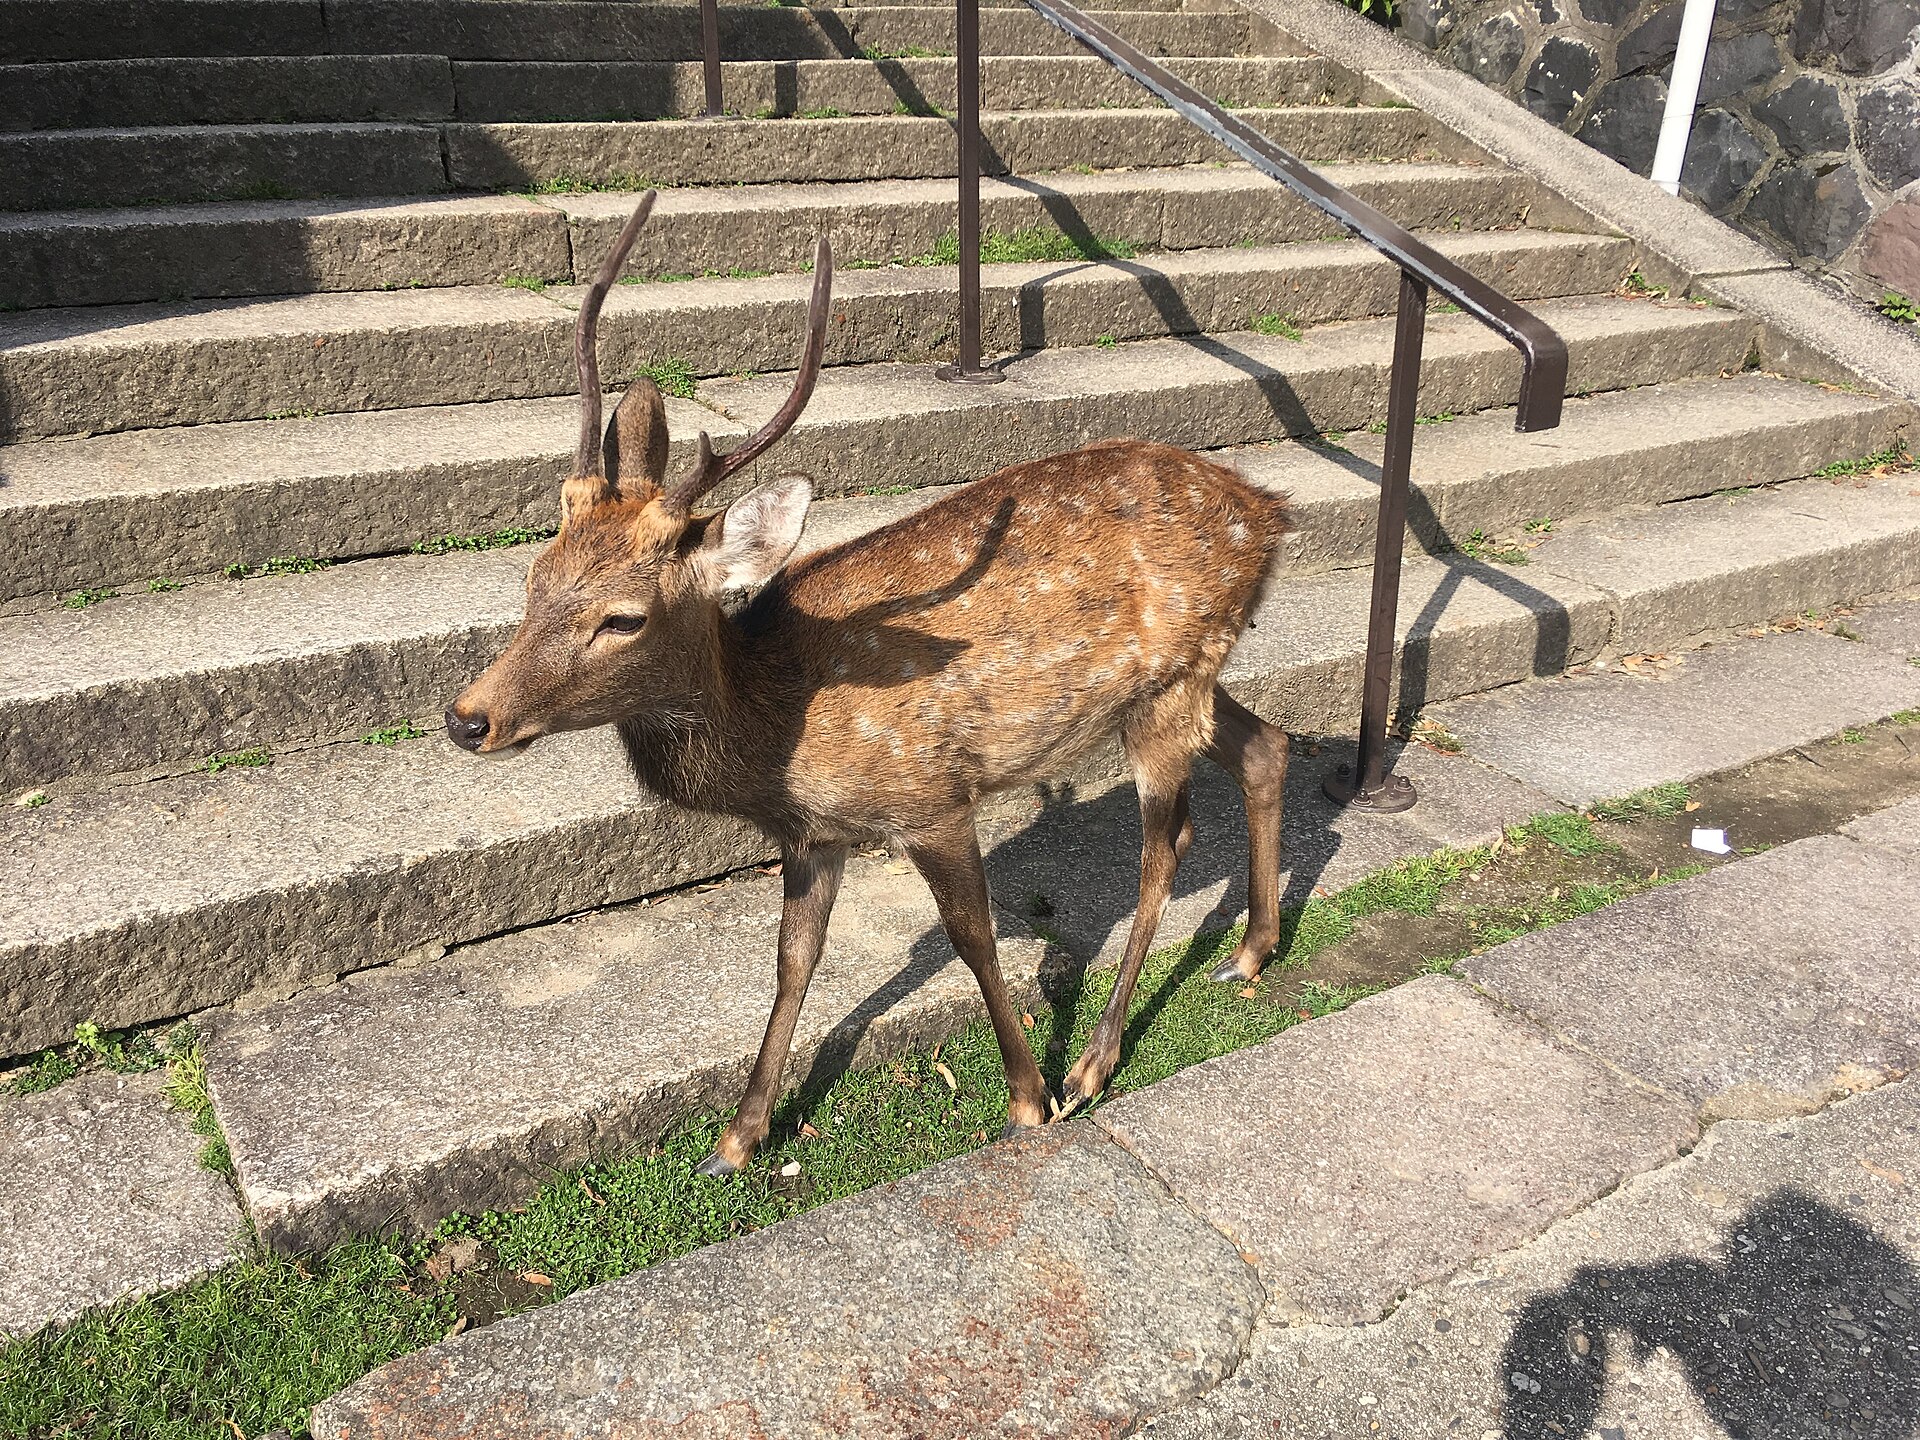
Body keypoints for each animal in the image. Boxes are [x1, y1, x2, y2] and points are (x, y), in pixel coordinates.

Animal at [445, 193, 1294, 1177]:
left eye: (622, 618)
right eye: (535, 579)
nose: (468, 719)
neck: (779, 739)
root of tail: (1274, 513)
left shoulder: (930, 793)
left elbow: (972, 938)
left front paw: (1027, 1100)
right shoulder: (816, 835)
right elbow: (792, 959)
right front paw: (737, 1138)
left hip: (1166, 693)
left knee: (1170, 841)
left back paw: (1092, 1063)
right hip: (1183, 675)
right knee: (1268, 744)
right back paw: (1250, 951)